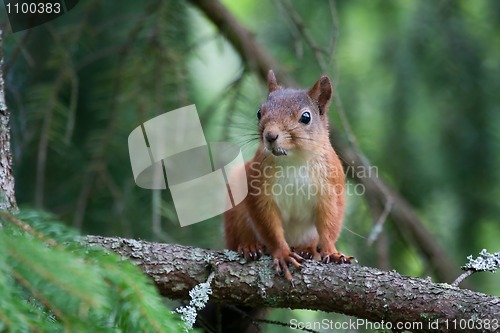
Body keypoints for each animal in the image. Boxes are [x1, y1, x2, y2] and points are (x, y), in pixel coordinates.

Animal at [225, 70, 354, 282]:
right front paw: (283, 253)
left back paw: (307, 250)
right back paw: (249, 246)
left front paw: (333, 252)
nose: (270, 135)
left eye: (306, 117)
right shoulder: (259, 191)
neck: (294, 160)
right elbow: (269, 226)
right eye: (259, 112)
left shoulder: (331, 189)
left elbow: (329, 225)